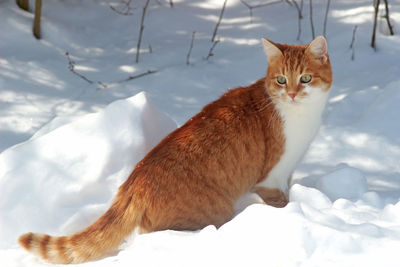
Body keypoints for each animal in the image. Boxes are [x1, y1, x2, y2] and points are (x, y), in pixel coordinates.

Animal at [18, 36, 332, 266]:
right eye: (281, 80)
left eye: (305, 79)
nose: (292, 94)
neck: (299, 114)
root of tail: (134, 182)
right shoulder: (272, 178)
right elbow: (282, 202)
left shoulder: (286, 173)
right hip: (213, 212)